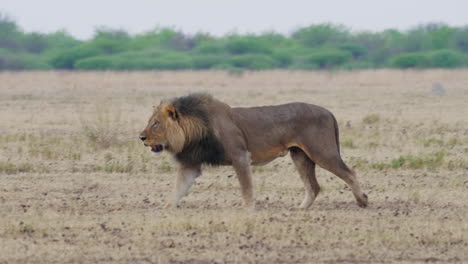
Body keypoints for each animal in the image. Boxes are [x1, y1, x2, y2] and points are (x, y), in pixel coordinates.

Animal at [140, 94, 370, 209]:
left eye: (155, 124)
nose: (141, 137)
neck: (195, 131)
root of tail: (329, 111)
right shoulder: (191, 164)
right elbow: (179, 187)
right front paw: (167, 207)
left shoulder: (241, 155)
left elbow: (246, 187)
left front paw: (249, 209)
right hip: (300, 156)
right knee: (313, 186)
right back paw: (301, 208)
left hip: (322, 152)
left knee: (349, 173)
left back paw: (362, 201)